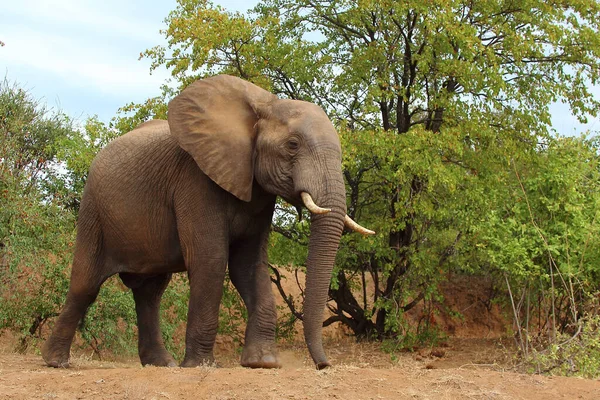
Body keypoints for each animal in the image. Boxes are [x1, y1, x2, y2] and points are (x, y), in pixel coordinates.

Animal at [41, 74, 370, 368]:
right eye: (292, 145)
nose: (324, 365)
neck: (264, 106)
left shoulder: (257, 193)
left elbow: (248, 265)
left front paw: (262, 363)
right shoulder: (195, 180)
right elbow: (210, 259)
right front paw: (202, 365)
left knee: (150, 293)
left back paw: (162, 365)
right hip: (93, 210)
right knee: (85, 285)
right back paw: (56, 362)